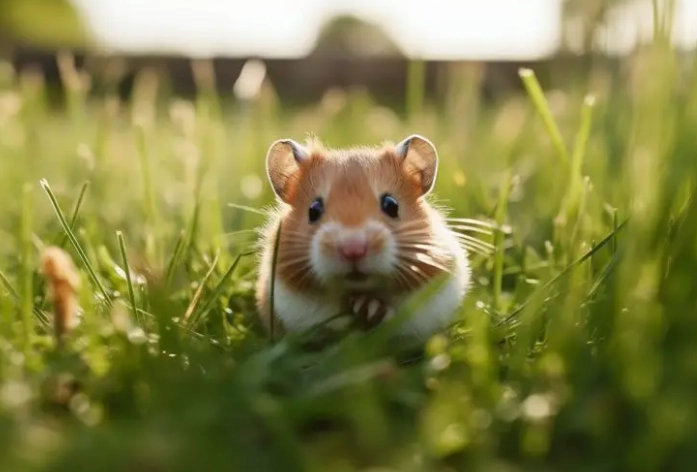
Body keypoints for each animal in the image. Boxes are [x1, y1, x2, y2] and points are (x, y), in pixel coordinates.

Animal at [254, 134, 472, 341]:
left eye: (391, 205)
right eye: (313, 210)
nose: (353, 249)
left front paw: (373, 310)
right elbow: (330, 317)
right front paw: (362, 311)